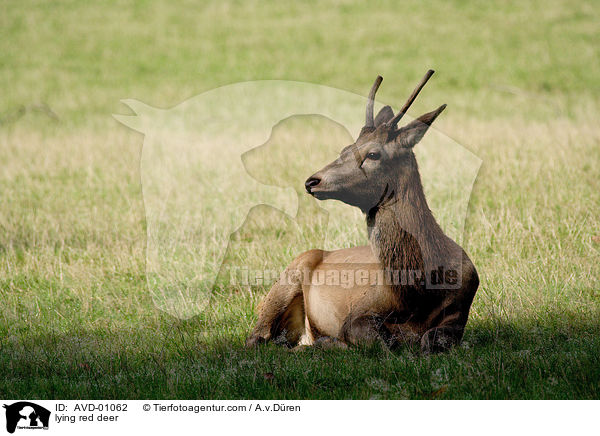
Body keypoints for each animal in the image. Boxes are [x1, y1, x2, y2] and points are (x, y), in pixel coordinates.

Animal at [244, 70, 478, 352]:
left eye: (373, 154)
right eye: (345, 149)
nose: (312, 181)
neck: (417, 295)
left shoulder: (461, 309)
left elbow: (434, 340)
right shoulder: (358, 312)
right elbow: (375, 339)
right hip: (285, 280)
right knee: (257, 337)